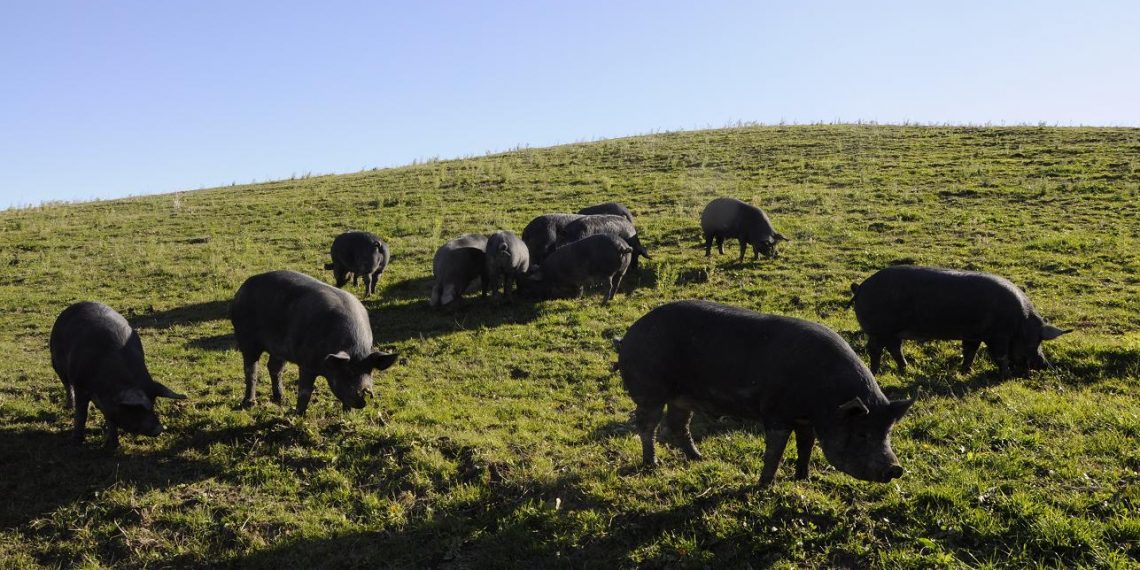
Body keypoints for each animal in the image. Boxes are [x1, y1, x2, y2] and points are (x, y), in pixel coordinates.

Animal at [49, 302, 187, 447]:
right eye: (135, 408)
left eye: (153, 405)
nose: (159, 429)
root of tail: (78, 304)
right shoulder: (80, 385)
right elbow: (81, 414)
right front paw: (76, 441)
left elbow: (111, 418)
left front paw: (113, 444)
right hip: (57, 364)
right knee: (67, 385)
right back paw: (70, 407)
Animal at [231, 270, 398, 415]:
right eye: (348, 371)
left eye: (370, 371)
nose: (366, 393)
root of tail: (243, 288)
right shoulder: (307, 364)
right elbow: (305, 392)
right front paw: (298, 415)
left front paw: (348, 414)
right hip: (247, 339)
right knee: (251, 370)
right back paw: (250, 403)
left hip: (279, 350)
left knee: (274, 367)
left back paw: (281, 399)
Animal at [616, 300, 913, 486]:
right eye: (862, 433)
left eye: (887, 433)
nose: (895, 468)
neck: (824, 400)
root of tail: (629, 335)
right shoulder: (776, 414)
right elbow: (775, 451)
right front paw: (762, 486)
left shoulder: (806, 420)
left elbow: (806, 445)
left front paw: (803, 478)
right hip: (649, 389)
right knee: (647, 425)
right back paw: (652, 465)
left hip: (682, 397)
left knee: (678, 425)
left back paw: (699, 458)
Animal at [851, 264, 1071, 377]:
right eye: (1036, 342)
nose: (1045, 365)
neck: (1020, 324)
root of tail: (860, 287)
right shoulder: (999, 335)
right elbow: (1000, 356)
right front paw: (1005, 375)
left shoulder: (973, 334)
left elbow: (969, 352)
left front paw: (966, 371)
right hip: (878, 330)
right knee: (875, 349)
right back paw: (875, 372)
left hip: (891, 332)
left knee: (895, 348)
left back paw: (905, 370)